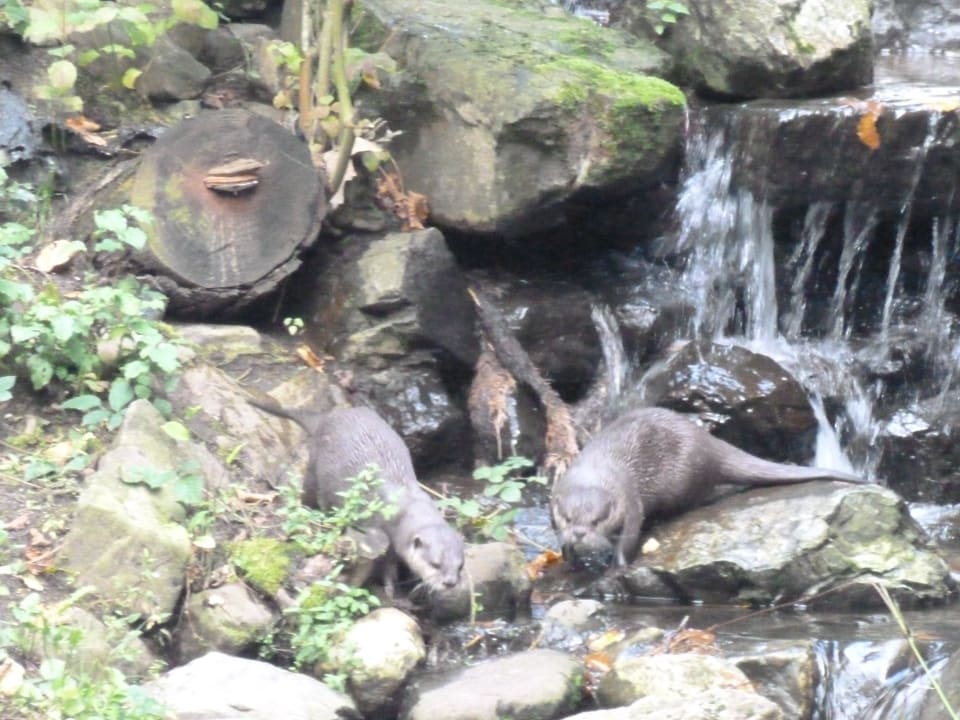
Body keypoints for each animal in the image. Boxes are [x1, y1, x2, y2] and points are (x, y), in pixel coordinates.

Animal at [249, 395, 465, 592]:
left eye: (460, 566)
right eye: (435, 564)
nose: (450, 583)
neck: (405, 506)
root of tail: (328, 418)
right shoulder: (380, 529)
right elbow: (386, 563)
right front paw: (389, 585)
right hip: (315, 463)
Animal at [550, 407, 865, 570]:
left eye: (597, 519)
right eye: (568, 517)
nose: (579, 533)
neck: (597, 468)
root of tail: (708, 443)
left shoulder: (630, 500)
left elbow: (630, 534)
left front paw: (617, 563)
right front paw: (567, 552)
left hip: (683, 477)